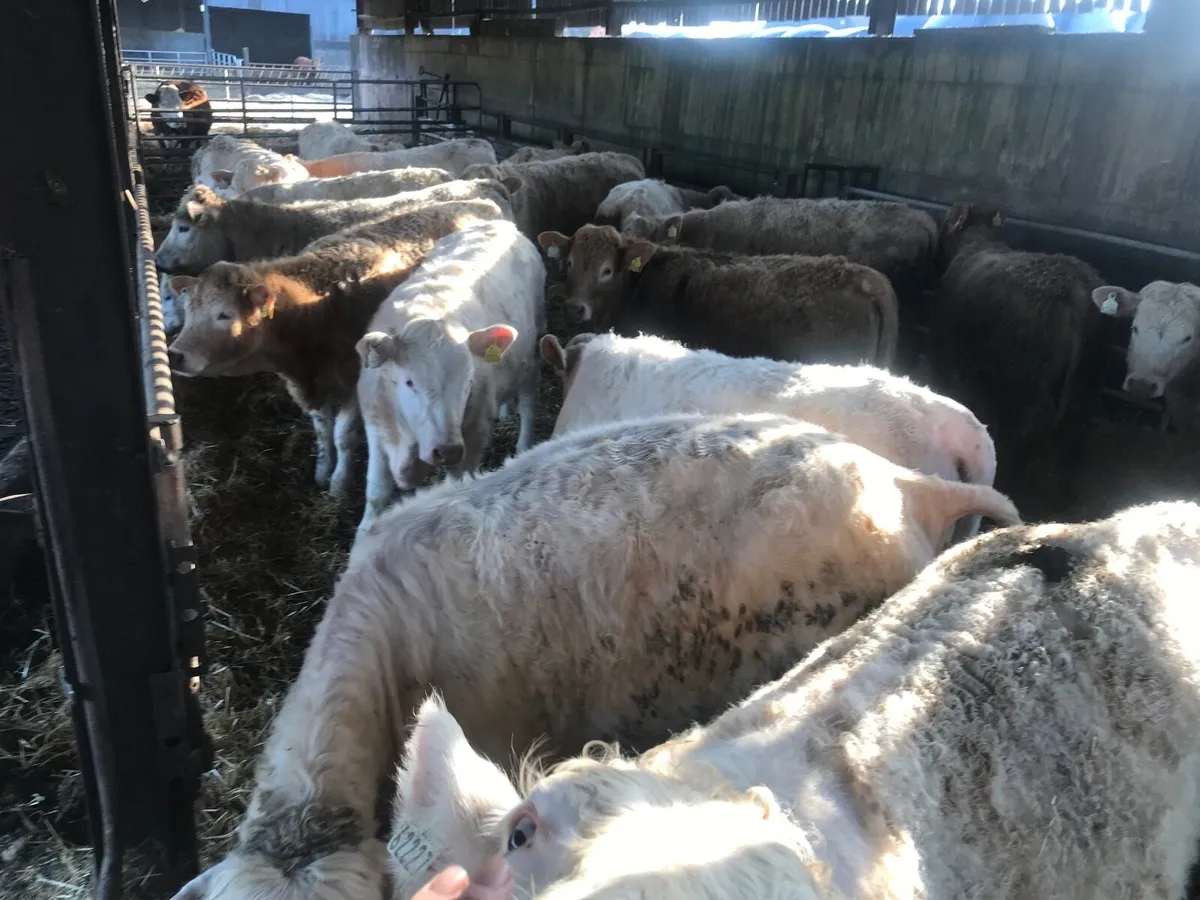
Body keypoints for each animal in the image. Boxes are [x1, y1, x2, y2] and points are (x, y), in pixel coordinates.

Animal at [165, 198, 506, 498]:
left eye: (224, 315)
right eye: (190, 310)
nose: (175, 354)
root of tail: (480, 203)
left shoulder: (353, 383)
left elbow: (342, 437)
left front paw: (339, 483)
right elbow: (322, 432)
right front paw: (321, 470)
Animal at [356, 220, 545, 529]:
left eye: (468, 382)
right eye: (410, 382)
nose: (447, 451)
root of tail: (499, 223)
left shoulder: (474, 435)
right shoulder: (376, 425)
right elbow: (376, 492)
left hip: (533, 347)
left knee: (529, 401)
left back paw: (524, 444)